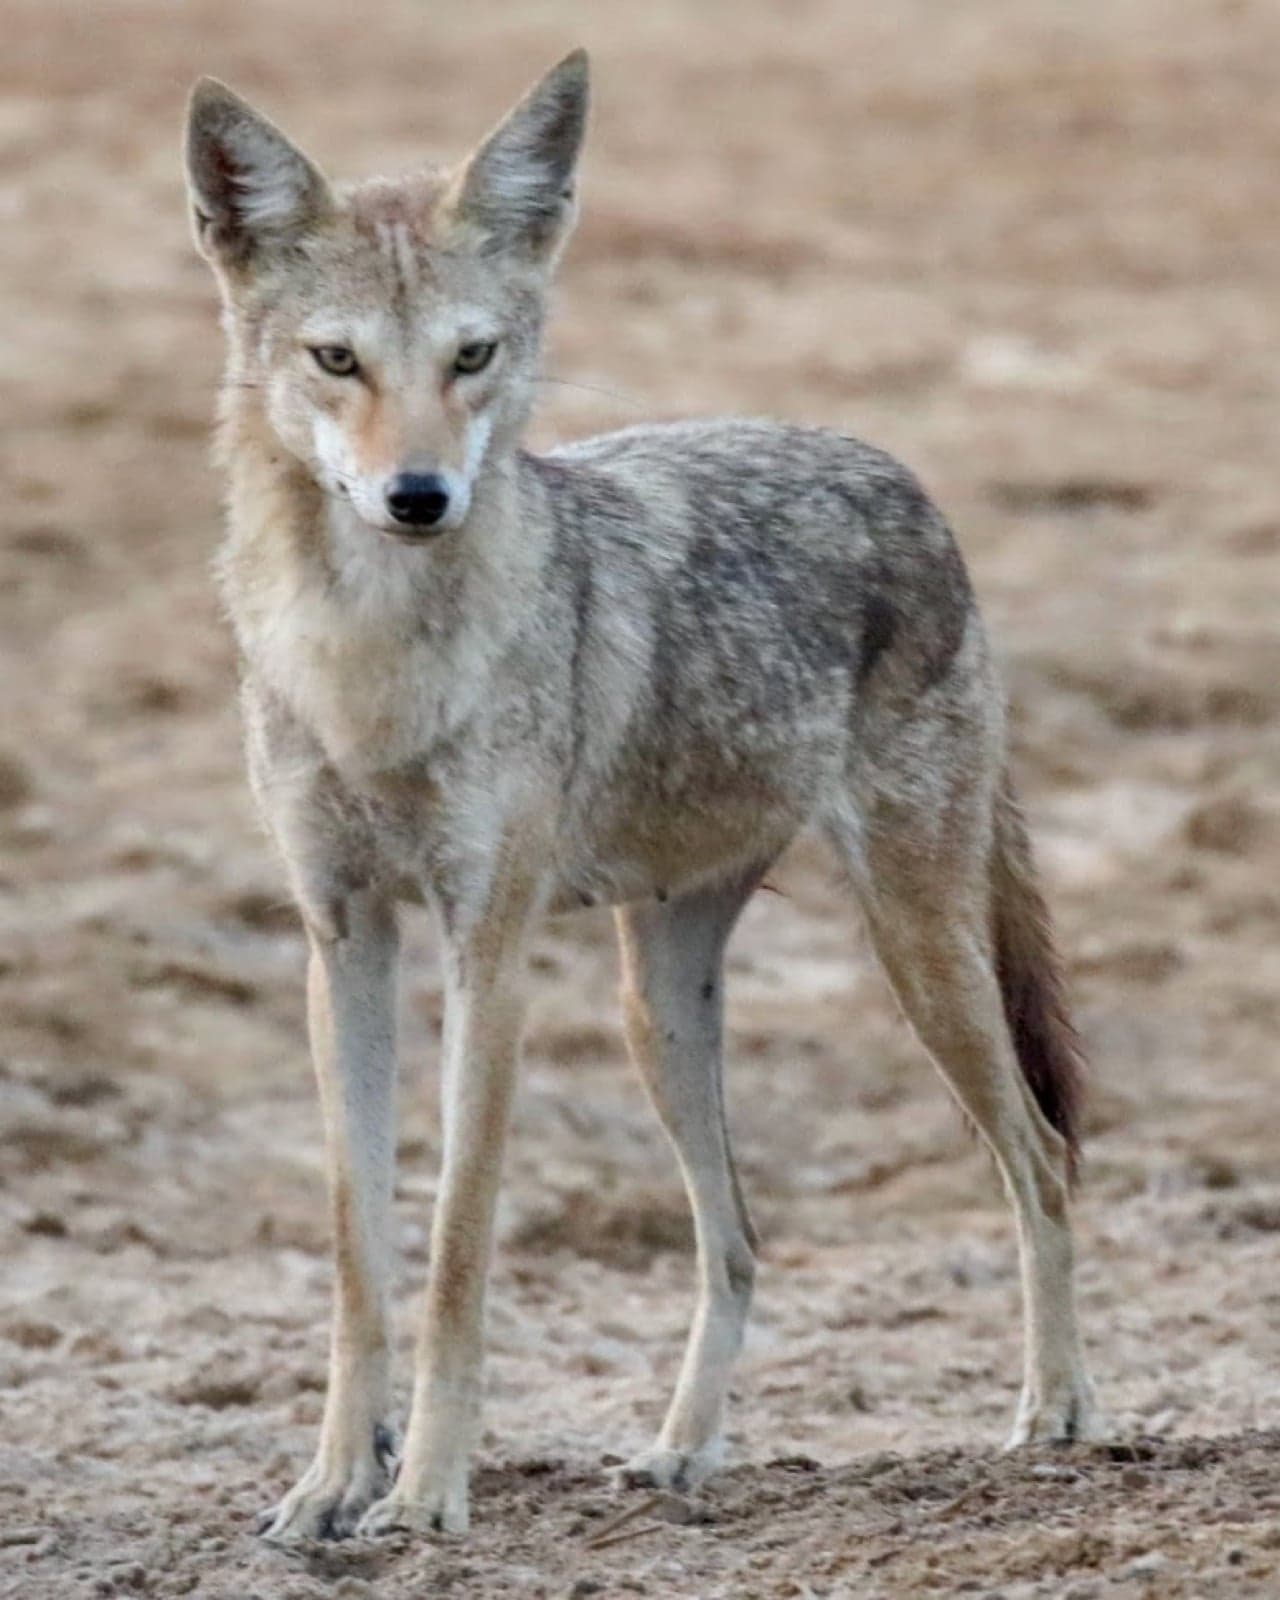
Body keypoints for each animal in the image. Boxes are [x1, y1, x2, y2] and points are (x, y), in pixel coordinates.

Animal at [184, 50, 1097, 1541]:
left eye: (473, 356)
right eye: (336, 360)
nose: (418, 495)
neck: (368, 660)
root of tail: (903, 477)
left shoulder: (488, 951)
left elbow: (456, 1253)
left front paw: (425, 1495)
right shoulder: (342, 942)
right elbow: (359, 1255)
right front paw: (331, 1483)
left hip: (919, 952)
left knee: (1040, 1156)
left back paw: (1057, 1413)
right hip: (653, 1002)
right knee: (740, 1237)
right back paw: (681, 1455)